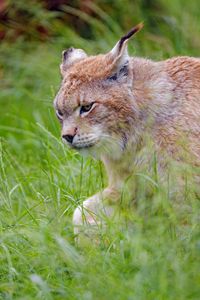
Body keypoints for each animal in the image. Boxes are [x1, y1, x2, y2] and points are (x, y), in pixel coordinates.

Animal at [54, 24, 200, 234]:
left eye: (87, 107)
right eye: (59, 112)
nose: (67, 136)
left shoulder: (185, 189)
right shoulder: (129, 188)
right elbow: (80, 212)